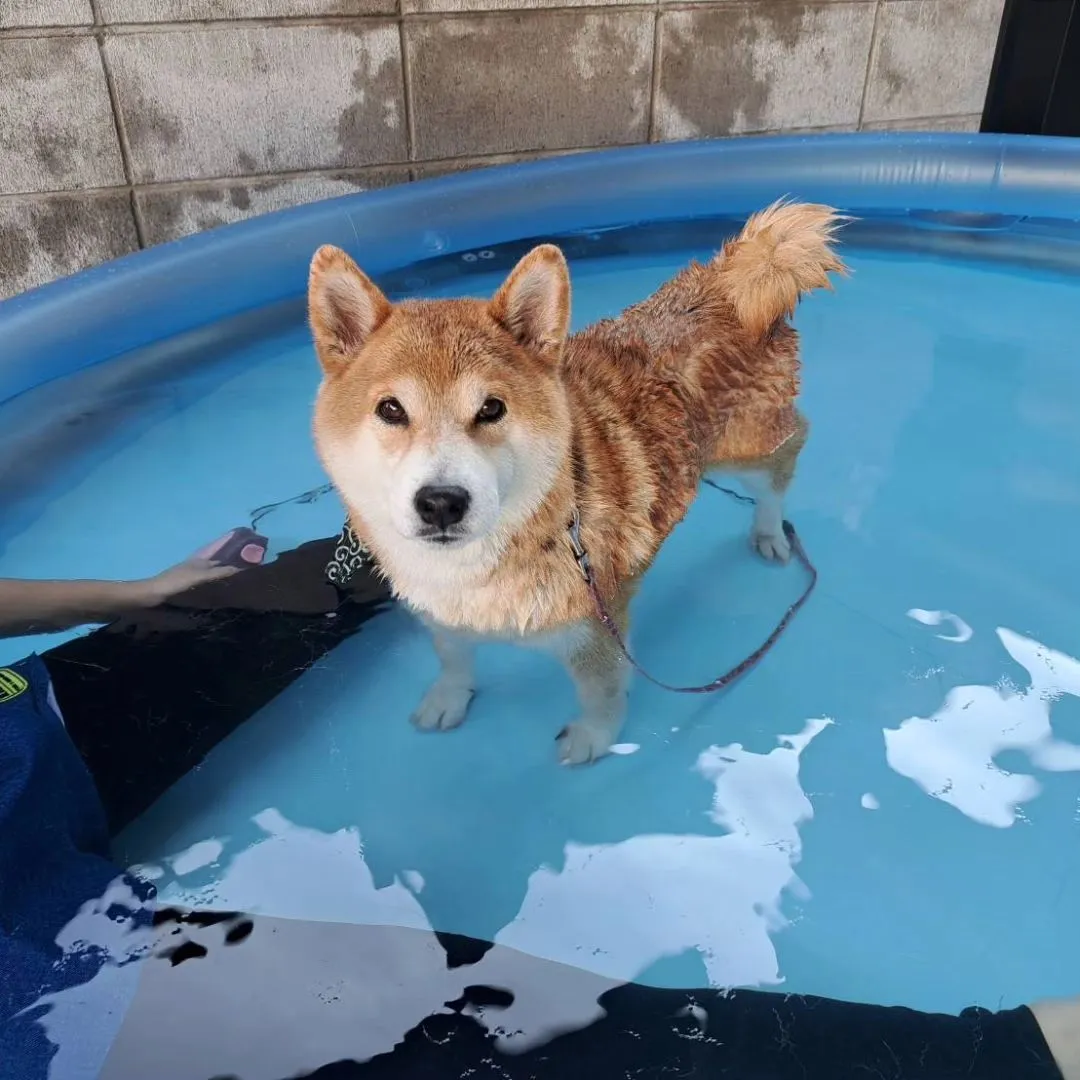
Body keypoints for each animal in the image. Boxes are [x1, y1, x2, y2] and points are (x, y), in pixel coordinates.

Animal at [304, 198, 842, 764]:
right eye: (391, 409)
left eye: (491, 408)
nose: (441, 502)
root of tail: (730, 284)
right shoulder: (444, 617)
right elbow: (453, 658)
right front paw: (449, 697)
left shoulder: (597, 630)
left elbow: (600, 694)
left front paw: (593, 738)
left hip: (747, 450)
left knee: (786, 459)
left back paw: (769, 531)